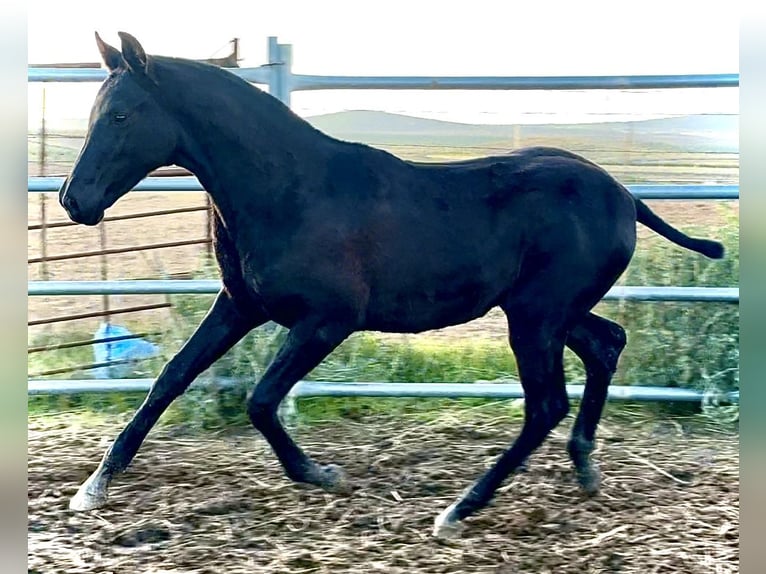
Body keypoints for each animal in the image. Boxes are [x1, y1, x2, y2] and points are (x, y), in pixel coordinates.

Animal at [59, 32, 724, 538]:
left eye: (120, 115)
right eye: (94, 112)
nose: (73, 200)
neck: (289, 191)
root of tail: (626, 196)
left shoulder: (326, 321)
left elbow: (261, 400)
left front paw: (322, 474)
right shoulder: (241, 306)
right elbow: (170, 379)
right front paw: (93, 487)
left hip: (535, 318)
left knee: (546, 403)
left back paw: (458, 511)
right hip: (551, 312)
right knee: (606, 345)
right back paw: (584, 468)